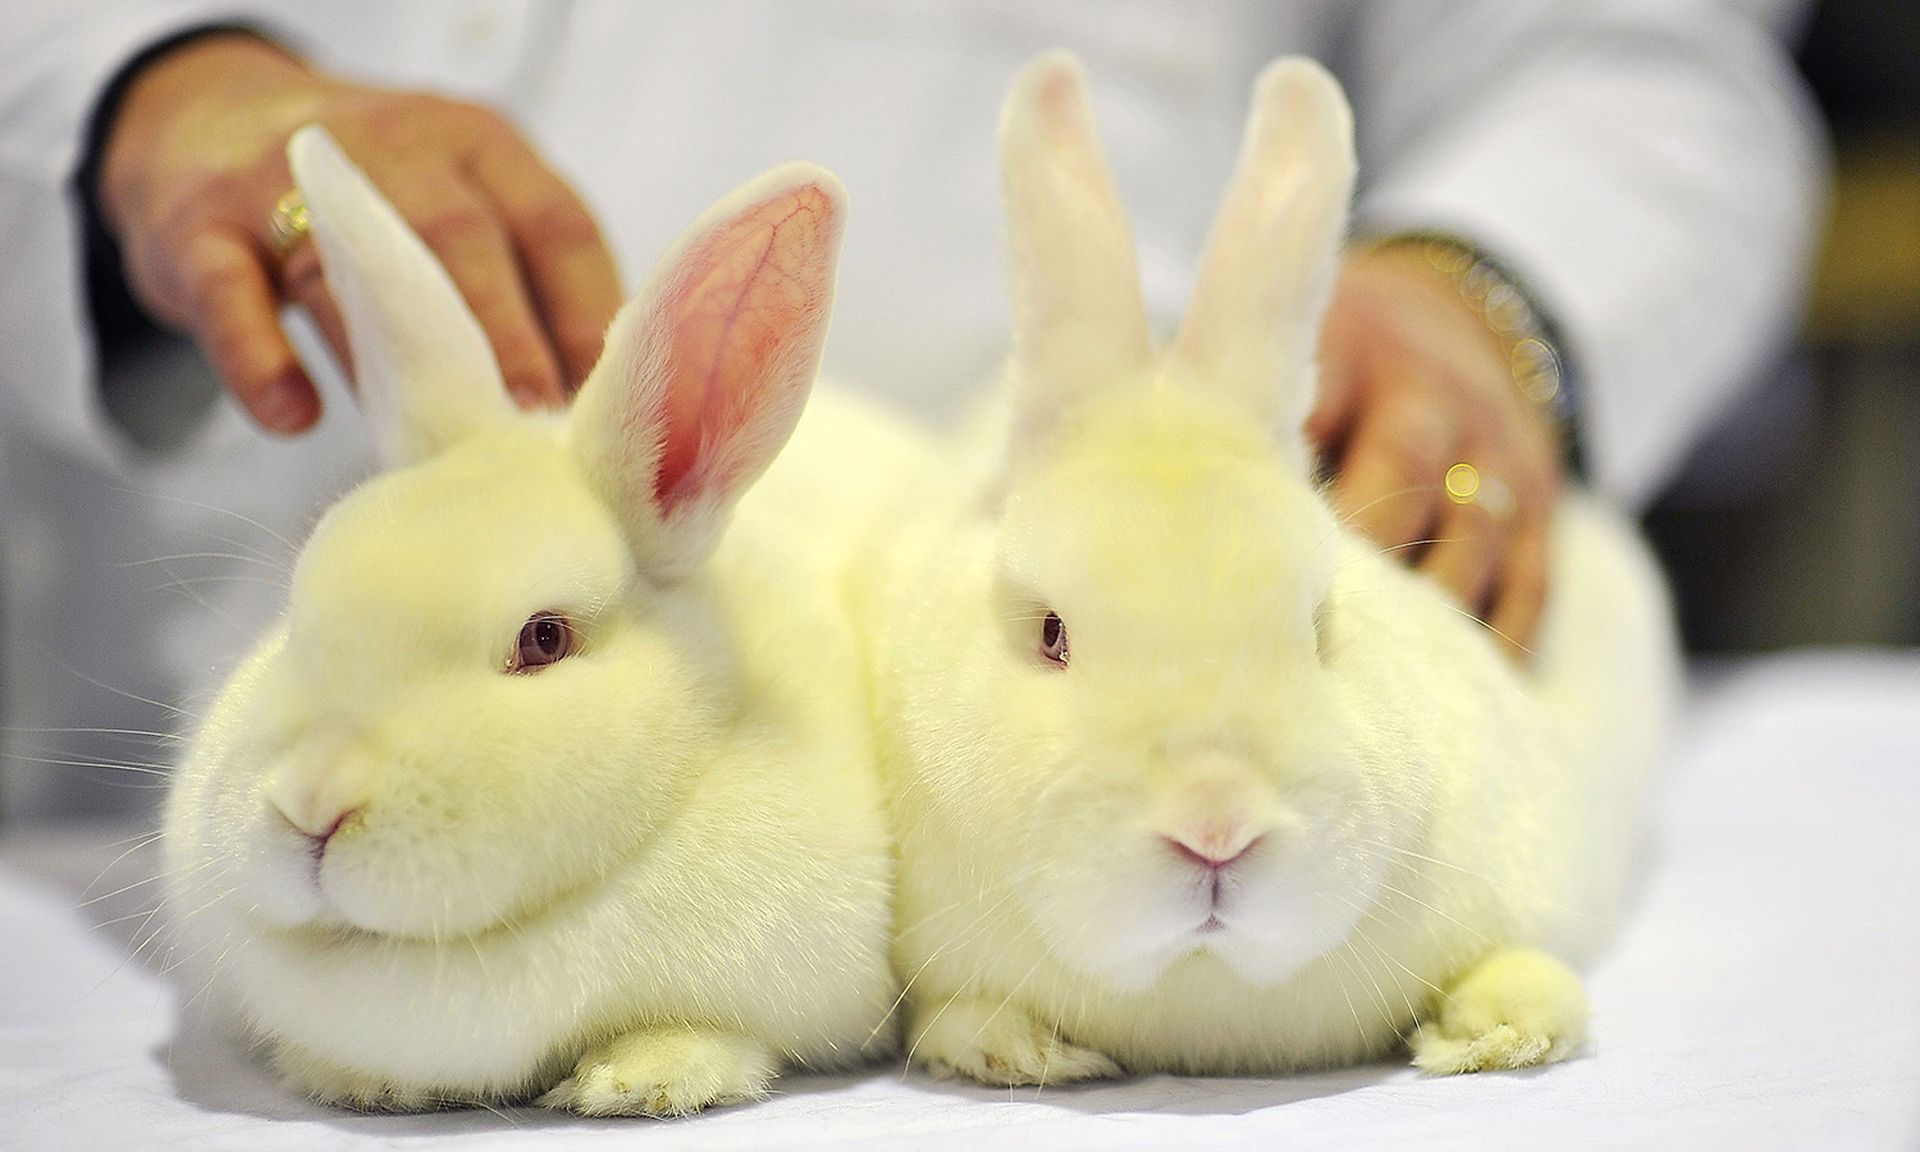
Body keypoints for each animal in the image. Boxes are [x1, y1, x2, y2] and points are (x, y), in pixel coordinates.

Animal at [157, 125, 898, 1113]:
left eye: (543, 638)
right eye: (299, 604)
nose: (311, 803)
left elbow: (714, 1035)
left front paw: (639, 1079)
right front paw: (352, 1079)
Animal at [860, 51, 1681, 1082]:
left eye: (1320, 628)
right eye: (1052, 635)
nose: (1215, 828)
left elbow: (1526, 963)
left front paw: (1496, 1031)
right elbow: (955, 1018)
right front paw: (1024, 1048)